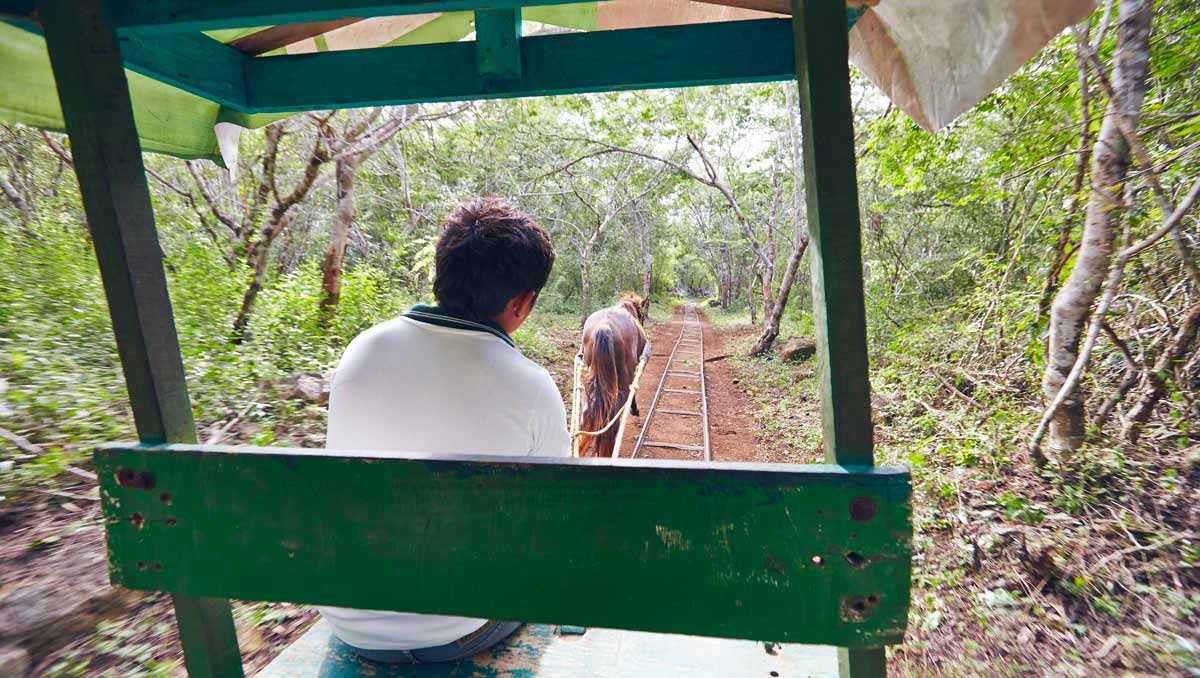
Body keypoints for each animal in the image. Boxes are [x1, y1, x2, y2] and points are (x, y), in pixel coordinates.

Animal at [578, 290, 648, 453]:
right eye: (642, 315)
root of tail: (605, 327)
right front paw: (635, 410)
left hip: (589, 383)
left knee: (587, 417)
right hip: (621, 385)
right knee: (612, 425)